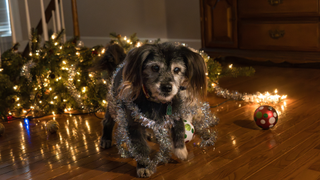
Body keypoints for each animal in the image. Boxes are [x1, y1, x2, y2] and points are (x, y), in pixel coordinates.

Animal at [99, 42, 208, 177]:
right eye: (155, 67)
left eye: (177, 69)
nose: (167, 87)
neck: (157, 102)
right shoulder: (134, 126)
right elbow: (140, 148)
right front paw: (144, 166)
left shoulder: (175, 111)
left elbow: (180, 127)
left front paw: (180, 150)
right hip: (113, 104)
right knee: (107, 121)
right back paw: (106, 138)